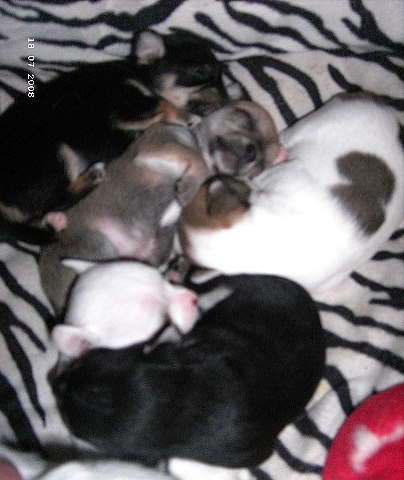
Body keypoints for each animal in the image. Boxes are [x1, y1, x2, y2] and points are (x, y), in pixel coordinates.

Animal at [0, 30, 227, 242]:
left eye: (222, 79)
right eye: (199, 71)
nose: (226, 98)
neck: (139, 75)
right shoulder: (125, 105)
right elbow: (162, 103)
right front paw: (187, 117)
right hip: (59, 153)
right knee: (54, 201)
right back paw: (93, 177)